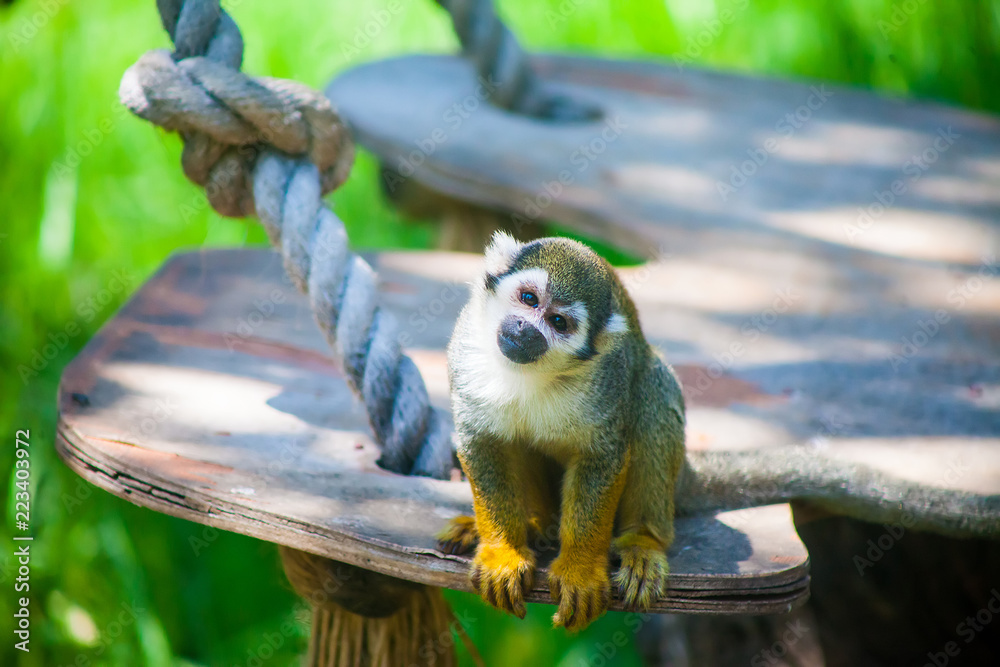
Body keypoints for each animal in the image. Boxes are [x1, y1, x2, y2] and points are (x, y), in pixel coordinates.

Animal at [437, 232, 686, 632]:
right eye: (528, 299)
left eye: (558, 321)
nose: (525, 329)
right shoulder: (465, 348)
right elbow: (482, 441)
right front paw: (503, 552)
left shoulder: (607, 377)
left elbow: (601, 455)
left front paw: (580, 569)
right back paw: (527, 524)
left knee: (652, 387)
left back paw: (644, 541)